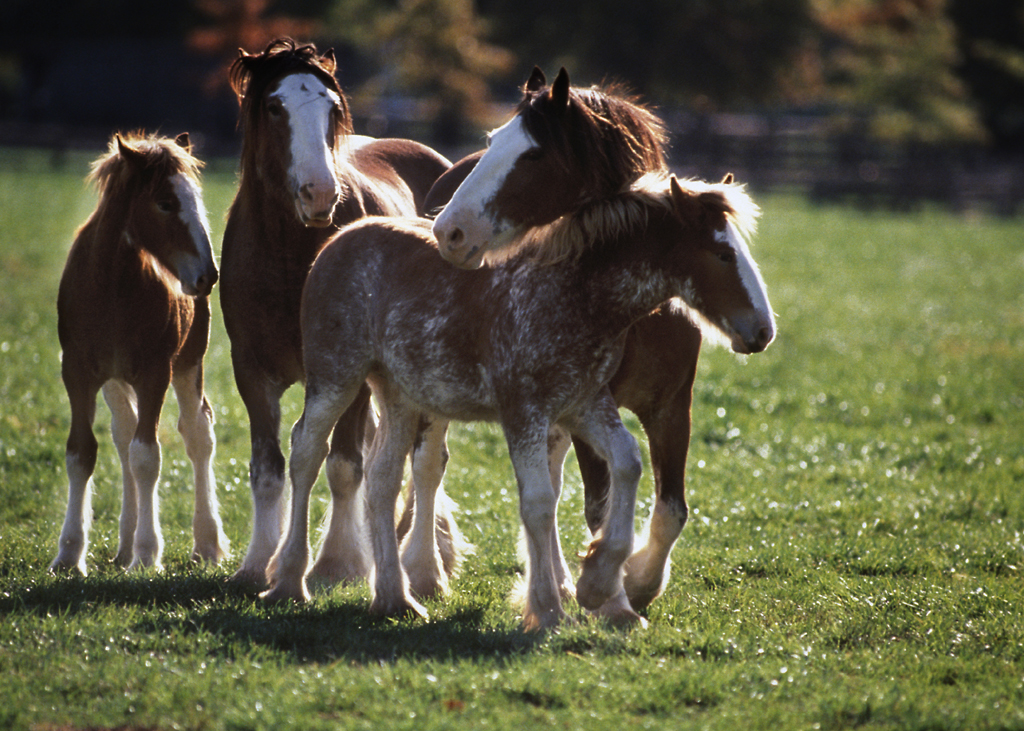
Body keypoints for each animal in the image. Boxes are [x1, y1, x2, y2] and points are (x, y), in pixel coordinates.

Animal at [51, 132, 228, 573]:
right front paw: (69, 554)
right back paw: (124, 544)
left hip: (189, 364)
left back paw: (206, 543)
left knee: (197, 432)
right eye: (165, 202)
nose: (208, 275)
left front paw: (148, 555)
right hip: (114, 380)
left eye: (196, 197)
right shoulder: (77, 373)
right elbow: (81, 453)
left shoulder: (155, 373)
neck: (112, 287)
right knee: (123, 434)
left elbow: (147, 456)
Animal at [223, 39, 456, 585]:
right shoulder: (251, 372)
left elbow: (345, 465)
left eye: (331, 108)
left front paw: (338, 563)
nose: (321, 193)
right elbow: (268, 469)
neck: (290, 258)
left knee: (426, 461)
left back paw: (423, 565)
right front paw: (258, 564)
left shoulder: (346, 373)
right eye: (274, 106)